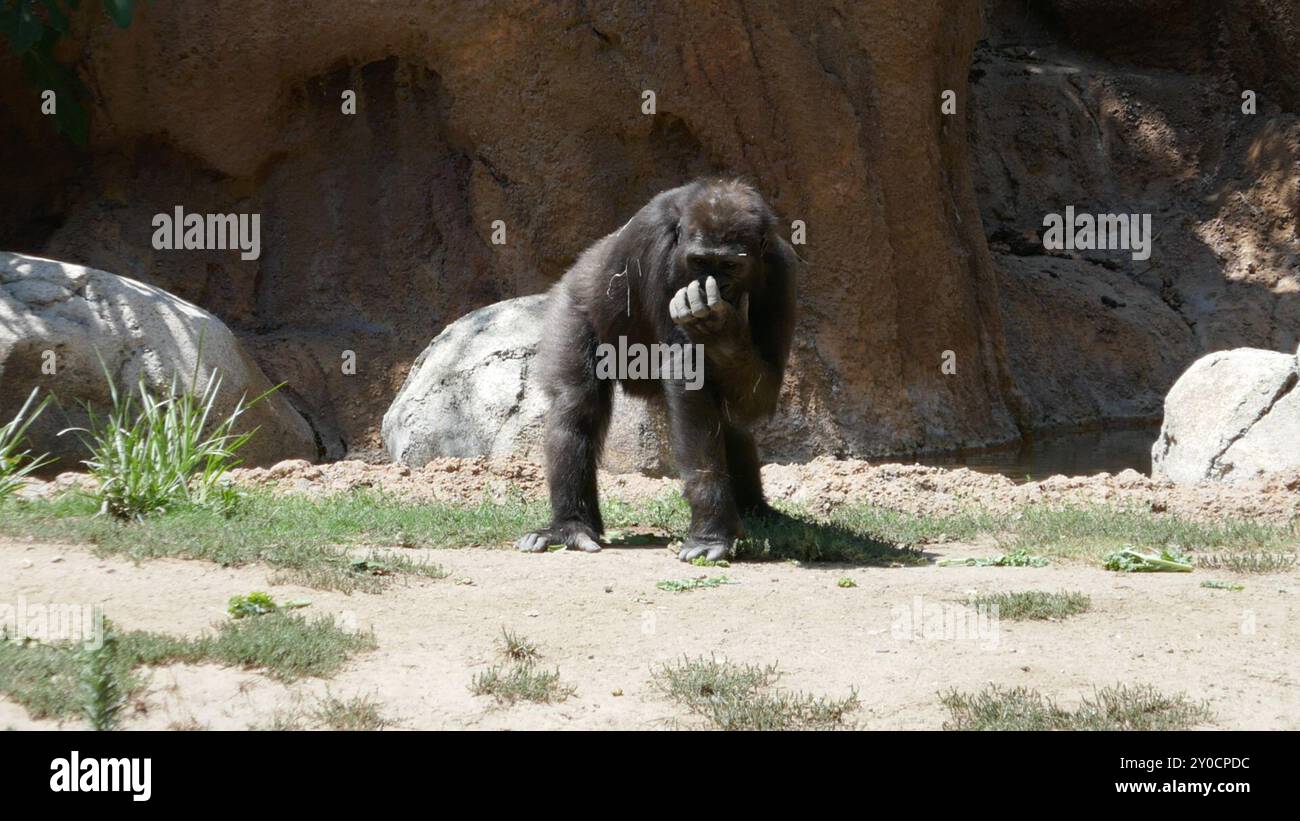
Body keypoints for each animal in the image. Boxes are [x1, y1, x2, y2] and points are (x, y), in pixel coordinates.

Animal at [515, 178, 796, 562]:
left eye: (729, 265)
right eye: (699, 262)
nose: (712, 287)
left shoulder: (783, 274)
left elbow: (761, 395)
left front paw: (721, 332)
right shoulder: (656, 245)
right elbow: (688, 373)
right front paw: (711, 532)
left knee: (730, 420)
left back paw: (756, 510)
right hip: (572, 299)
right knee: (575, 404)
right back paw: (569, 525)